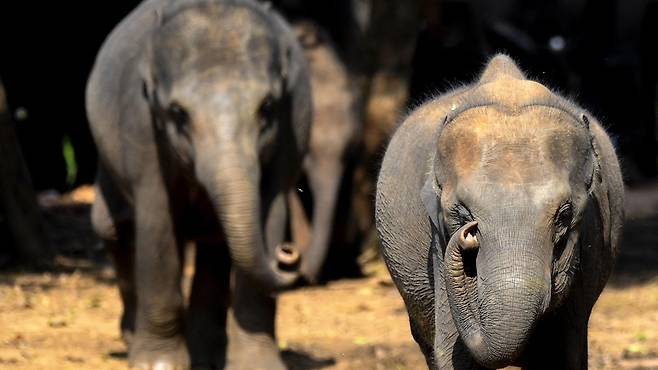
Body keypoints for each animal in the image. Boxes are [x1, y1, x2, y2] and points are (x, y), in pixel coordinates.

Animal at [86, 1, 312, 368]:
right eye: (178, 113)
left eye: (267, 107)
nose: (288, 253)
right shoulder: (140, 124)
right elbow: (157, 222)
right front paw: (158, 365)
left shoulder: (295, 122)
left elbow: (271, 211)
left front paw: (257, 365)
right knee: (112, 227)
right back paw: (134, 338)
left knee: (213, 243)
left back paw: (208, 353)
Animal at [374, 55, 620, 370]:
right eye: (464, 215)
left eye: (564, 215)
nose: (468, 235)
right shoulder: (438, 241)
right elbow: (455, 354)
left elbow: (561, 353)